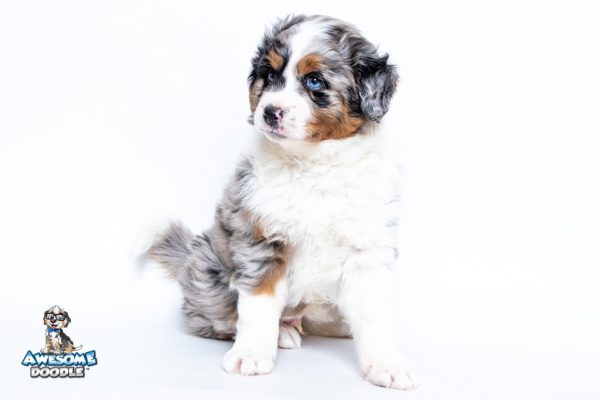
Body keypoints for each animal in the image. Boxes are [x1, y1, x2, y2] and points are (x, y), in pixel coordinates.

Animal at [149, 14, 418, 390]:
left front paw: (386, 364)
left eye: (315, 81)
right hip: (208, 270)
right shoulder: (260, 240)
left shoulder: (367, 249)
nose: (270, 111)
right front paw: (251, 355)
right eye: (270, 75)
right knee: (211, 318)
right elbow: (258, 306)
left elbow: (373, 314)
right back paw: (281, 333)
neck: (314, 163)